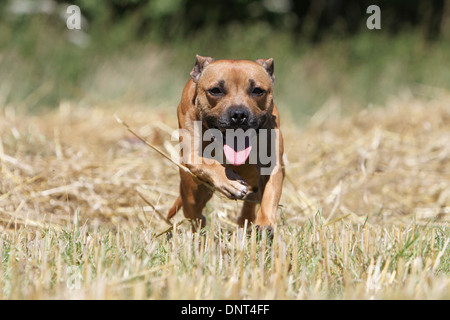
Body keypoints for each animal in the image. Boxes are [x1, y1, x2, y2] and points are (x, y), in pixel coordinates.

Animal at [167, 56, 284, 229]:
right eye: (215, 90)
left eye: (257, 90)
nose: (239, 114)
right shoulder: (192, 154)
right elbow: (207, 163)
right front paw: (230, 182)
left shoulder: (272, 166)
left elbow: (269, 196)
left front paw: (264, 223)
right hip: (191, 191)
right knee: (195, 213)